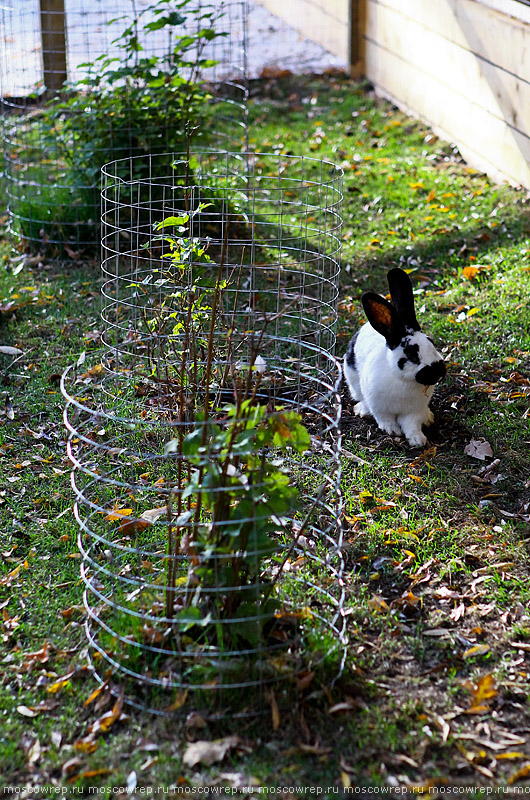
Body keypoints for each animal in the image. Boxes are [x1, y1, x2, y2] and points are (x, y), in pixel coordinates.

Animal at [342, 268, 446, 444]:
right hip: (352, 378)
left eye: (431, 342)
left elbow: (412, 424)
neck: (404, 381)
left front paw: (417, 439)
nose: (438, 372)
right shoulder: (379, 407)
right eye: (411, 353)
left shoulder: (414, 411)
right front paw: (392, 430)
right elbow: (385, 419)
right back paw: (362, 409)